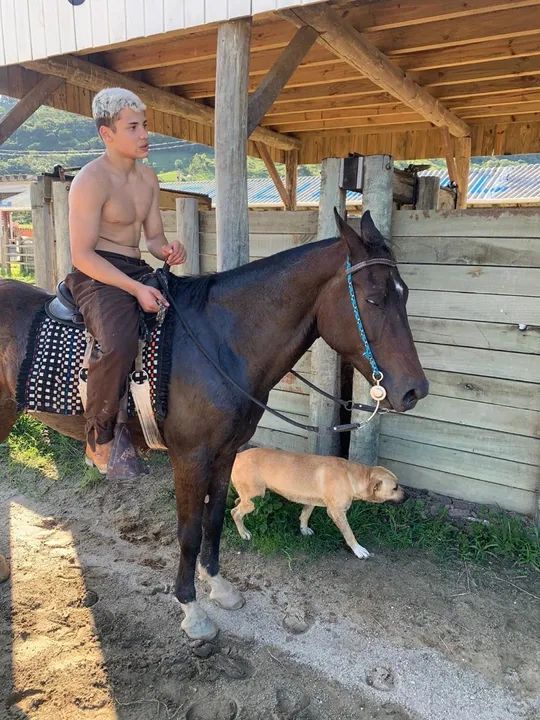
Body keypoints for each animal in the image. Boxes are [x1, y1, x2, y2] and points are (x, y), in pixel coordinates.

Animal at [0, 211, 428, 640]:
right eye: (373, 299)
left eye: (404, 294)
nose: (414, 390)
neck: (223, 344)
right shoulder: (190, 457)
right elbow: (189, 531)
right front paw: (191, 608)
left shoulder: (226, 453)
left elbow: (217, 518)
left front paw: (218, 586)